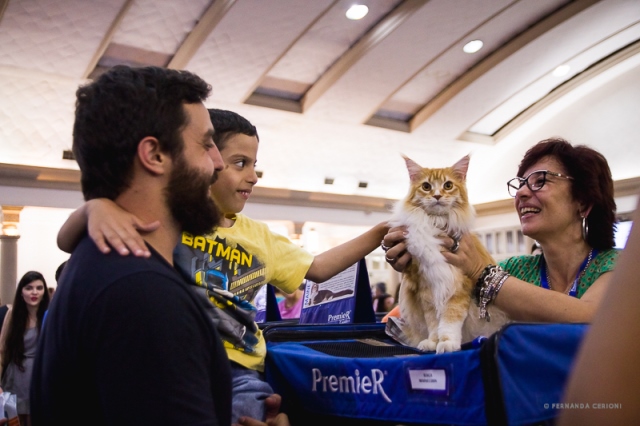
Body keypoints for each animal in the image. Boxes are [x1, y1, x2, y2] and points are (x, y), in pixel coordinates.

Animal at [392, 155, 508, 354]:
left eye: (448, 185)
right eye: (426, 186)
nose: (437, 196)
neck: (436, 223)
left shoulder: (458, 286)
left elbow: (450, 321)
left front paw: (447, 343)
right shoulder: (427, 287)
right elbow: (433, 322)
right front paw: (432, 342)